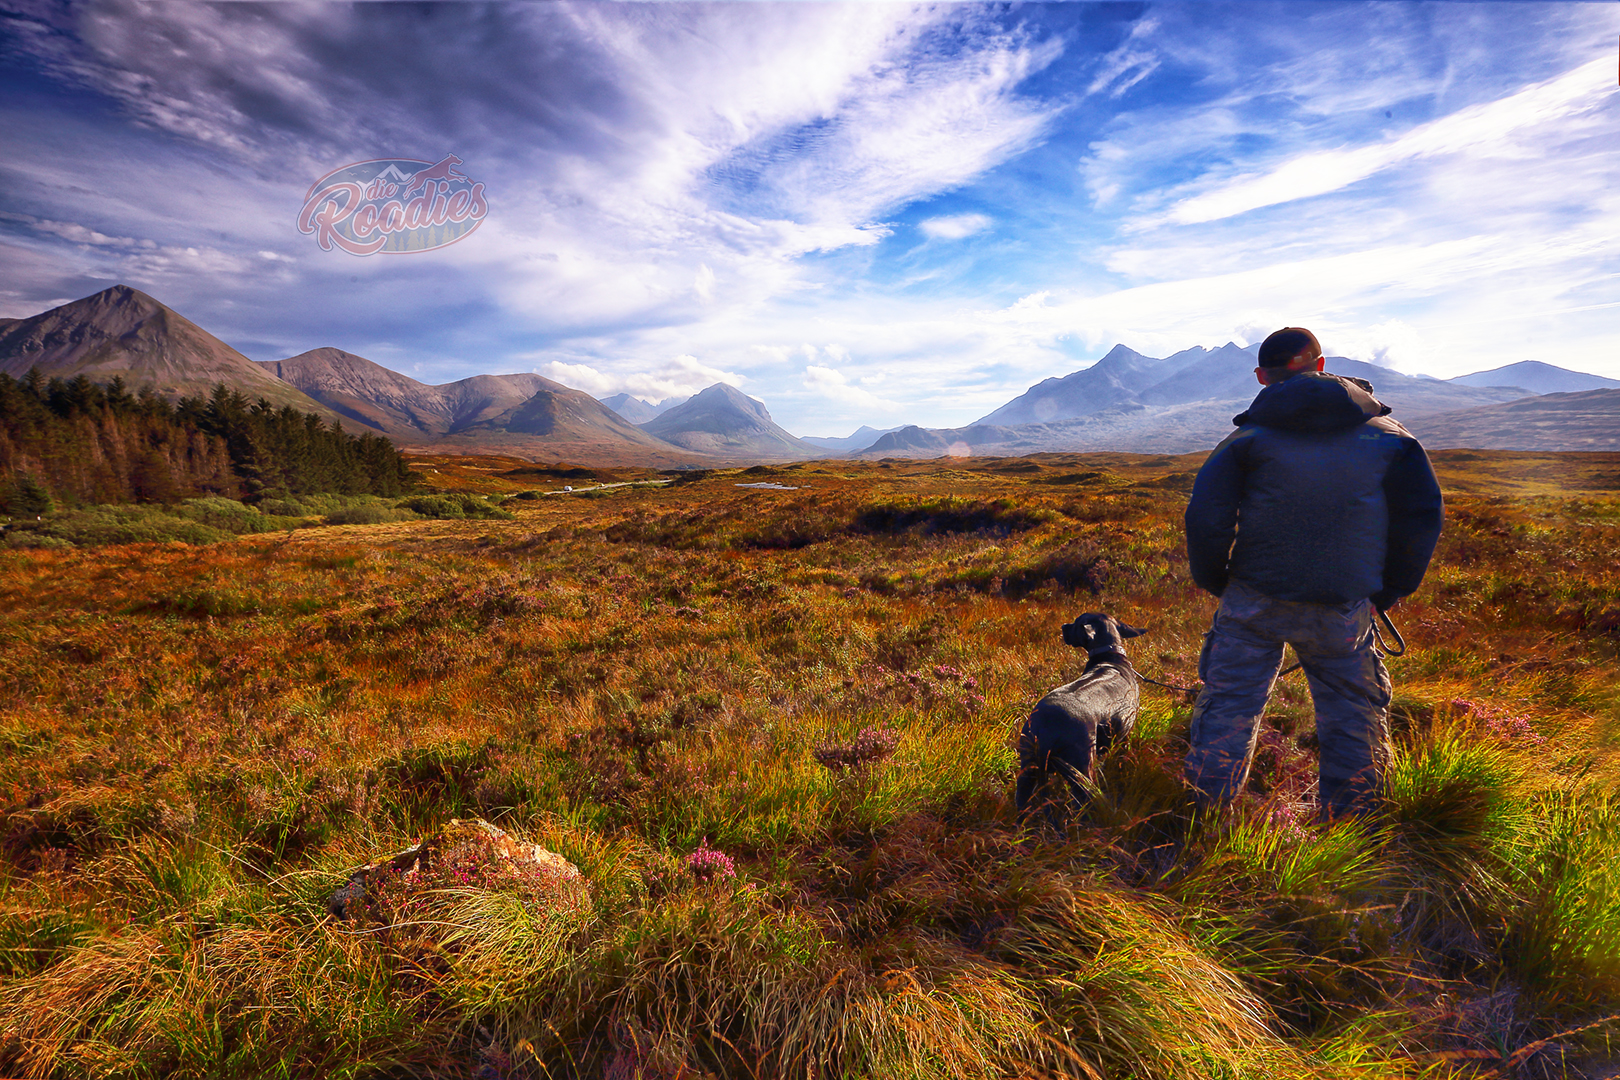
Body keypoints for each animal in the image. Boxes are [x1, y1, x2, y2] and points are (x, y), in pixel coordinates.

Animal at [1017, 612, 1146, 822]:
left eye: (1076, 622)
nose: (1063, 626)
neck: (1109, 657)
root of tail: (1045, 727)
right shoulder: (1124, 736)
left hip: (1028, 767)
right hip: (1082, 768)